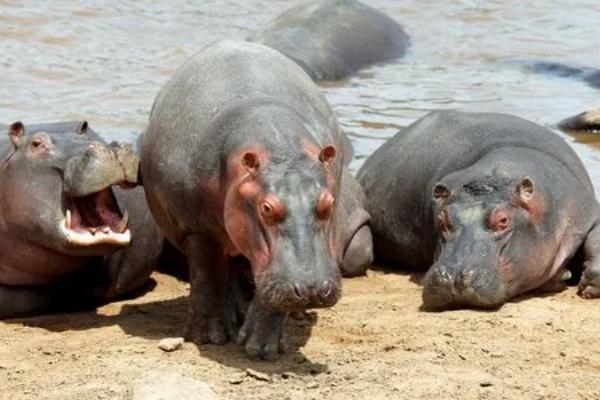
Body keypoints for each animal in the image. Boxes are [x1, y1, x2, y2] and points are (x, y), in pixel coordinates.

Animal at [142, 40, 372, 360]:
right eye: (267, 208)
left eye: (327, 203)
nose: (312, 290)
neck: (278, 146)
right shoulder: (195, 226)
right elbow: (206, 277)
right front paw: (208, 338)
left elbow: (269, 289)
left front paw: (261, 349)